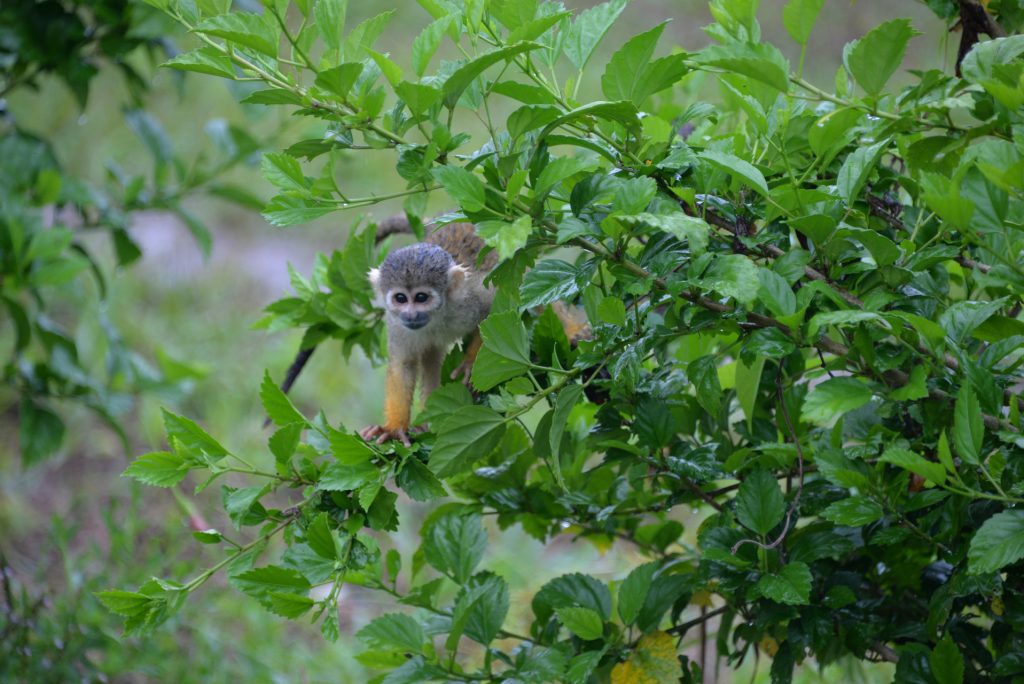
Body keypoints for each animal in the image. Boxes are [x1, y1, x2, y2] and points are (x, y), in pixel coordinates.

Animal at [358, 222, 497, 446]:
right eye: (400, 298)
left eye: (421, 297)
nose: (411, 314)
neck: (437, 316)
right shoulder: (397, 324)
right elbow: (403, 365)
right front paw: (394, 428)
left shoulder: (470, 299)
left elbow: (492, 312)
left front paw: (470, 362)